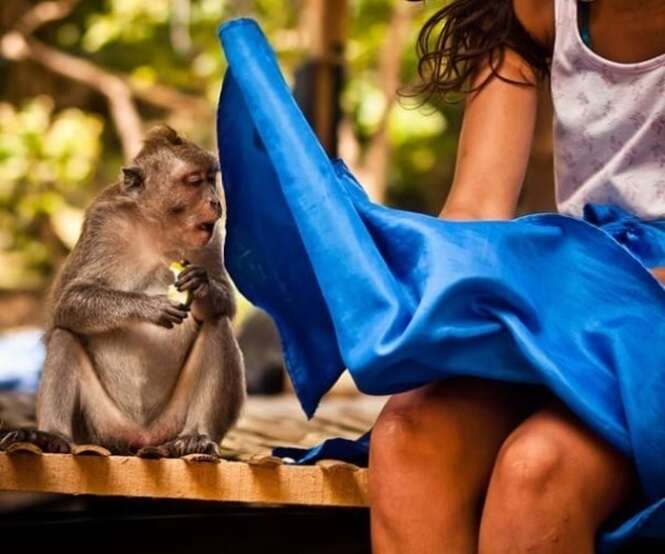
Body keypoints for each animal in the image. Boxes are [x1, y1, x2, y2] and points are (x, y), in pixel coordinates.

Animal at [0, 126, 245, 458]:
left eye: (211, 179)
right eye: (195, 181)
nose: (216, 202)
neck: (157, 229)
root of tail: (141, 438)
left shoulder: (211, 238)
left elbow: (226, 305)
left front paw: (201, 285)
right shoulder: (104, 225)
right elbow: (68, 302)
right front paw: (147, 306)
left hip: (171, 422)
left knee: (217, 325)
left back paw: (197, 436)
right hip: (100, 425)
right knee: (66, 335)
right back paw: (51, 436)